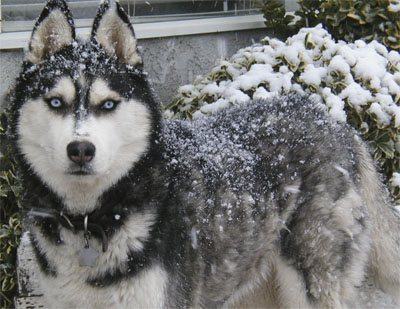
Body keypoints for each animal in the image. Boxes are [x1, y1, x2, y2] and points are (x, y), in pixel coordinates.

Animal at [8, 0, 400, 308]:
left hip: (309, 276)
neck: (92, 219)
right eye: (56, 102)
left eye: (107, 104)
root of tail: (334, 120)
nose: (80, 151)